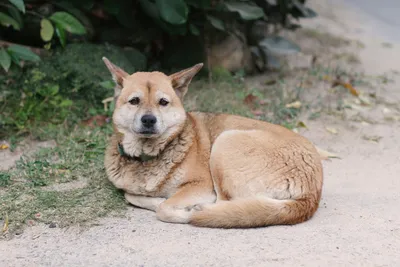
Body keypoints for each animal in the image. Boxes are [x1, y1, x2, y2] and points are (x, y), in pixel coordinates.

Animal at [101, 57, 324, 229]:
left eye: (163, 102)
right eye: (134, 101)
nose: (148, 120)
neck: (148, 156)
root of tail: (311, 194)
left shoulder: (202, 186)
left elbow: (164, 208)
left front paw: (184, 211)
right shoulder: (133, 190)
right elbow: (131, 195)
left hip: (225, 142)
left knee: (226, 204)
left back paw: (201, 210)